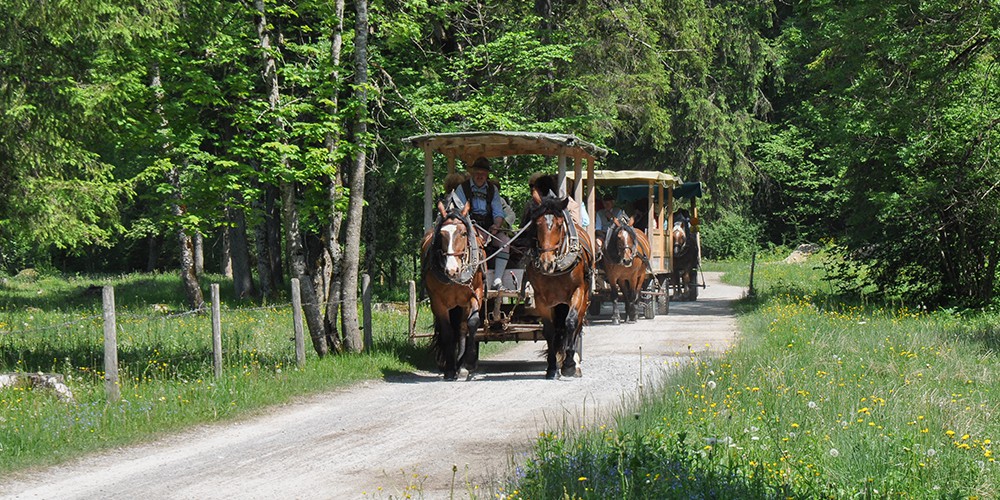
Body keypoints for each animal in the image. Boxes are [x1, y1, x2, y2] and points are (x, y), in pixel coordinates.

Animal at [420, 199, 486, 378]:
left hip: (462, 304)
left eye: (463, 233)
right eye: (441, 235)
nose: (451, 270)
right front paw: (449, 368)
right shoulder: (438, 302)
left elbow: (472, 323)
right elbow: (448, 331)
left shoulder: (476, 293)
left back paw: (461, 364)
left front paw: (468, 362)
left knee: (462, 328)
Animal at [524, 189, 592, 376]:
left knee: (577, 323)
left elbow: (571, 322)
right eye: (537, 223)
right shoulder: (541, 299)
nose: (546, 263)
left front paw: (568, 364)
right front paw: (552, 367)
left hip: (584, 298)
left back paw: (574, 362)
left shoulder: (577, 291)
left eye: (560, 225)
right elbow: (549, 330)